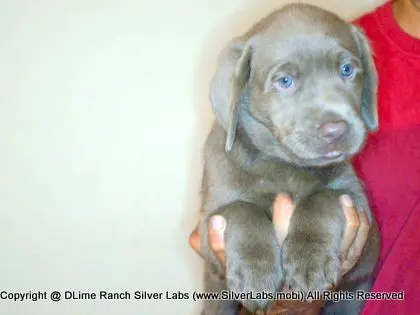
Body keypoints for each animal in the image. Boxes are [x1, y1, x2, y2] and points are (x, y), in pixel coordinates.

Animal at [199, 2, 378, 315]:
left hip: (352, 294)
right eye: (285, 81)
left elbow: (322, 198)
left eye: (347, 70)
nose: (336, 130)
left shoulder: (356, 200)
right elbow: (242, 210)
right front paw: (255, 274)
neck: (284, 165)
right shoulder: (211, 220)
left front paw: (310, 260)